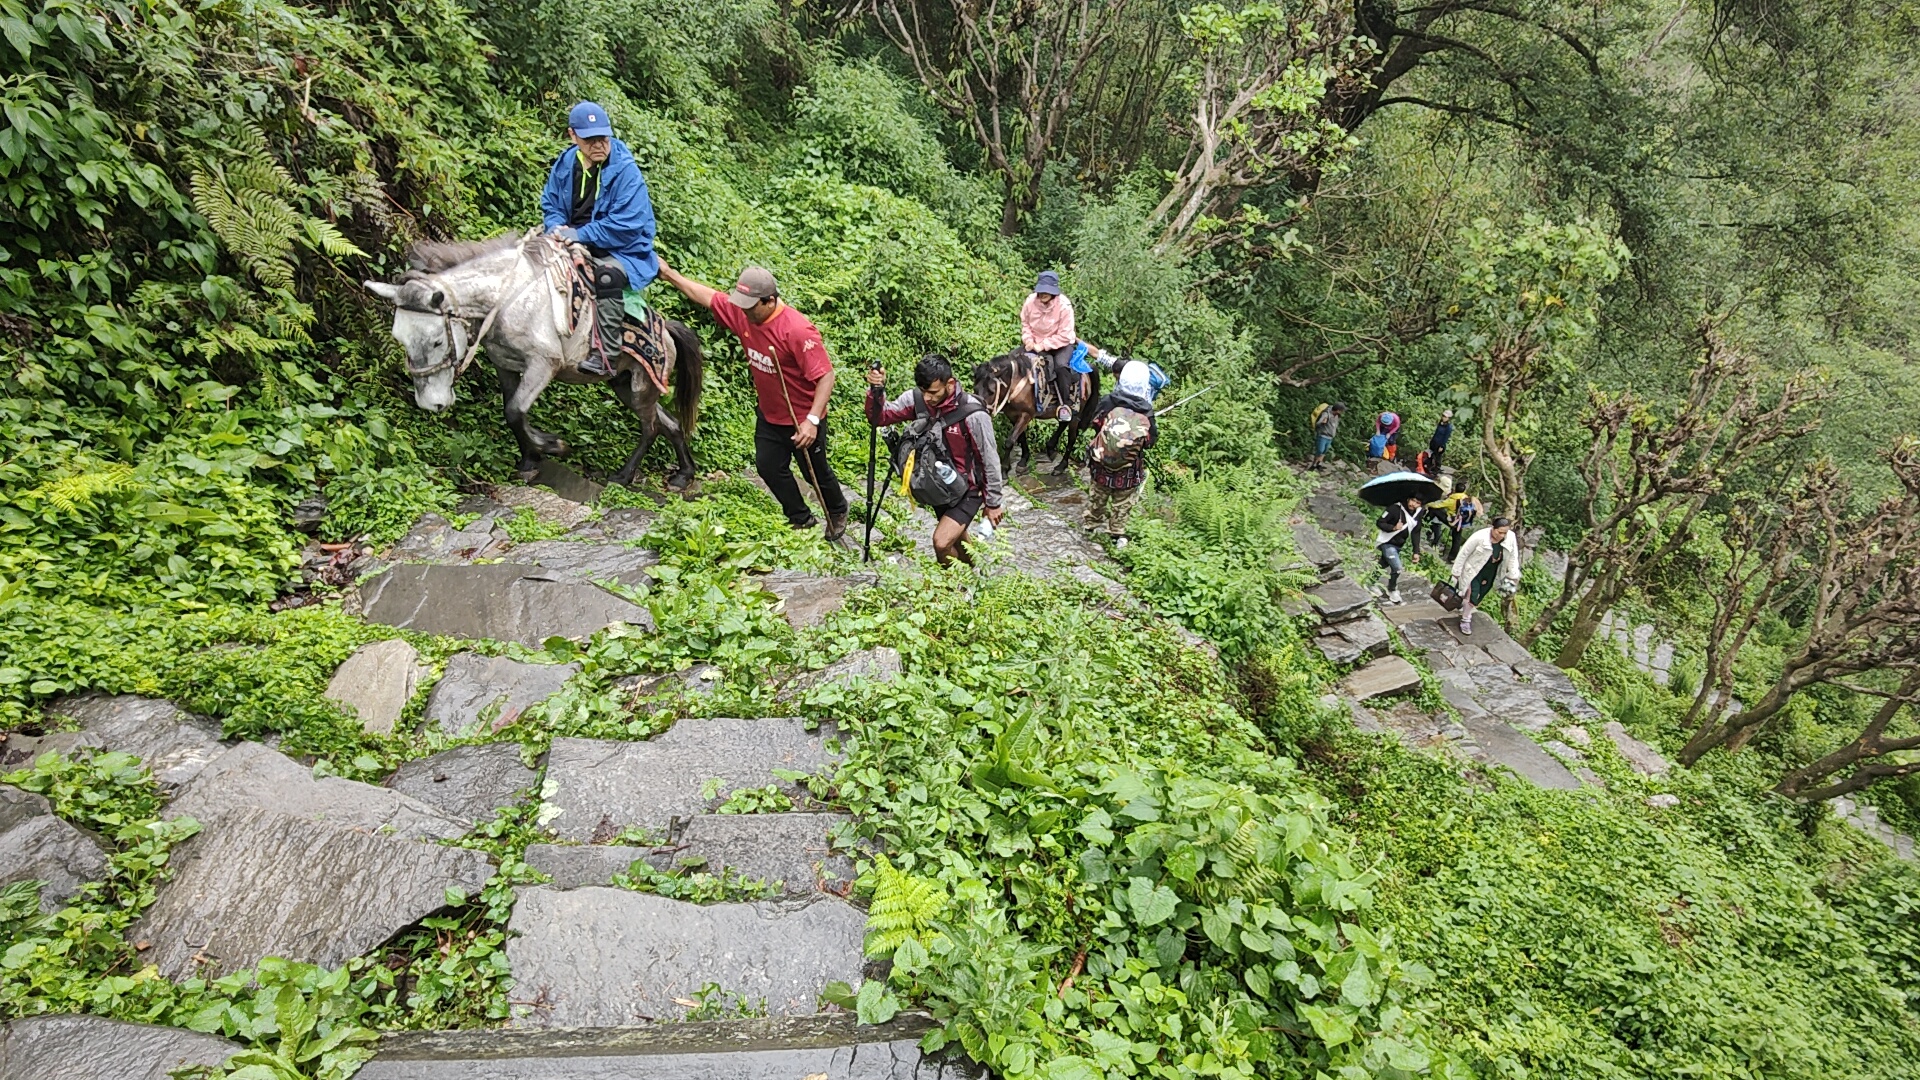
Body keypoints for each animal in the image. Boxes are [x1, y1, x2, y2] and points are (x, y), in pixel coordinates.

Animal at [362, 237, 702, 490]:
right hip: (625, 385)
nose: (432, 404)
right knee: (669, 424)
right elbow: (511, 410)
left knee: (650, 428)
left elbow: (516, 410)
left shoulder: (543, 364)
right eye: (399, 339)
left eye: (435, 341)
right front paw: (531, 458)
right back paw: (683, 475)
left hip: (643, 386)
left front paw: (549, 447)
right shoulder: (505, 365)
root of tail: (667, 330)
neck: (506, 298)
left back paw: (623, 475)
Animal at [967, 351, 1105, 472]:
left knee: (1072, 437)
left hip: (1077, 412)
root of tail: (1086, 371)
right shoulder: (1012, 415)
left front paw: (1005, 469)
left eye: (991, 391)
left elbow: (1010, 441)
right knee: (1063, 423)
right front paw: (1023, 461)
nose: (980, 411)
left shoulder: (1026, 415)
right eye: (975, 389)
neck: (1016, 382)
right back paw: (1050, 448)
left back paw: (1060, 466)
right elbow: (1020, 437)